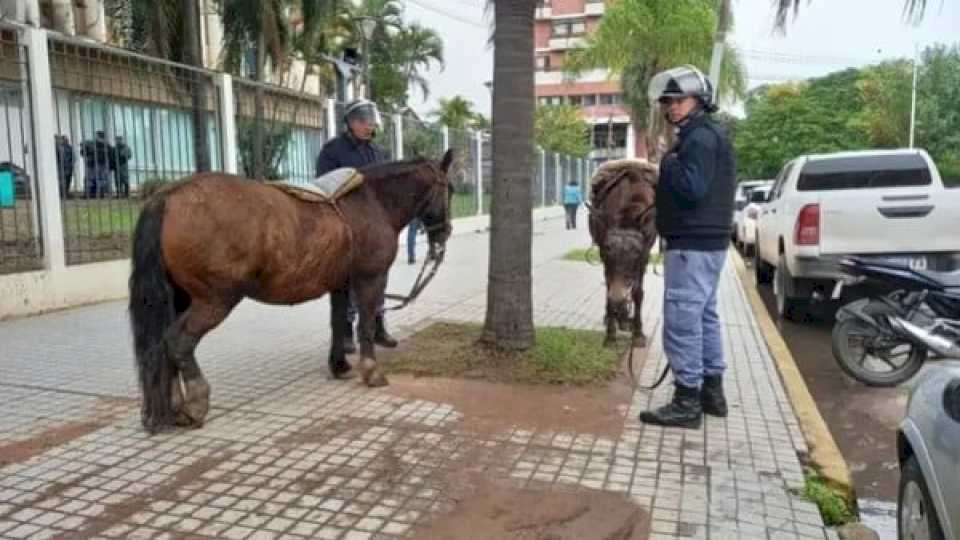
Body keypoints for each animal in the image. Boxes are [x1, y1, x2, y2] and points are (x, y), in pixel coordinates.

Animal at [127, 150, 454, 432]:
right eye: (449, 189)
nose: (444, 234)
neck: (372, 201)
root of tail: (167, 196)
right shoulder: (369, 279)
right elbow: (365, 327)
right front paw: (371, 371)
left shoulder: (340, 283)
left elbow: (338, 323)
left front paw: (338, 365)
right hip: (214, 300)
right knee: (178, 341)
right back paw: (196, 403)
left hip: (180, 298)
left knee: (163, 343)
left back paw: (173, 406)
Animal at [584, 158, 660, 348]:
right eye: (607, 249)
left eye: (636, 252)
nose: (618, 298)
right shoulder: (603, 254)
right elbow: (608, 288)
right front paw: (610, 335)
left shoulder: (645, 254)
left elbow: (638, 293)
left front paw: (638, 333)